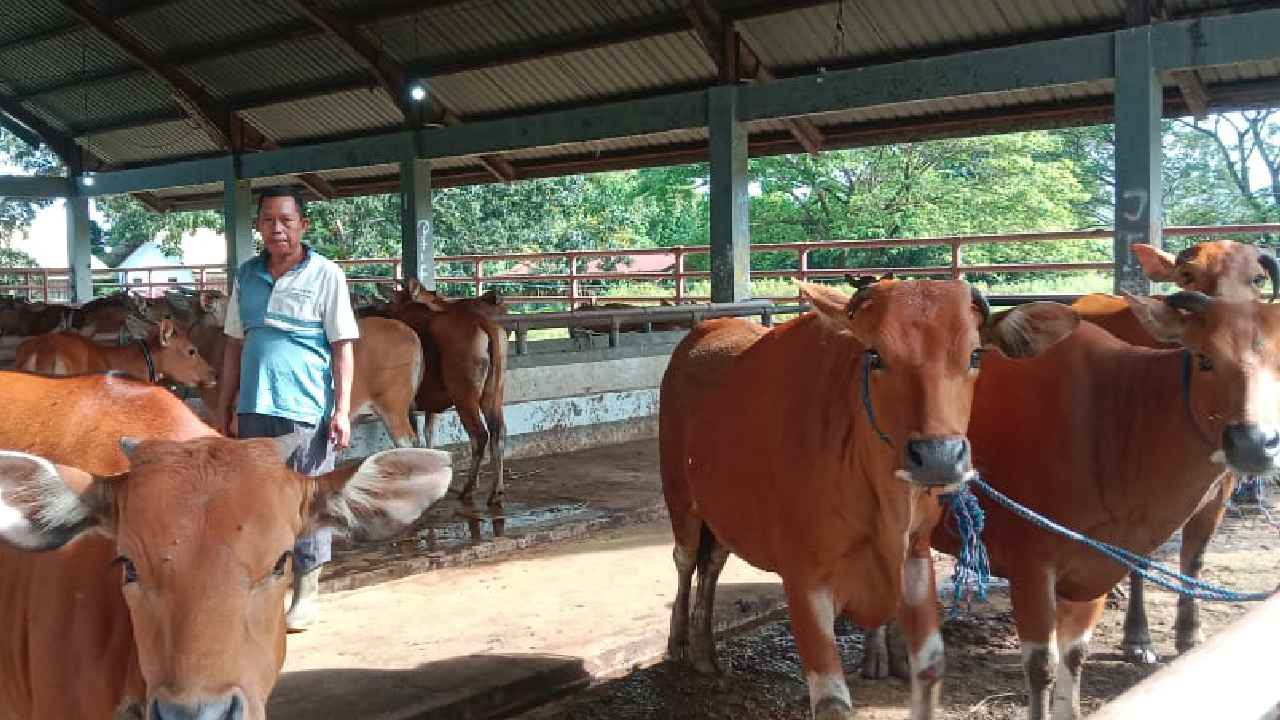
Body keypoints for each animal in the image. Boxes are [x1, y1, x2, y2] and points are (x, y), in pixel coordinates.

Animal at [660, 281, 1080, 717]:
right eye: (875, 355)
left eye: (975, 354)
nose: (939, 456)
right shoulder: (805, 577)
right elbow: (831, 701)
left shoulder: (915, 555)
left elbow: (931, 667)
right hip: (680, 495)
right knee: (686, 560)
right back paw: (680, 641)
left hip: (720, 510)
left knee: (712, 564)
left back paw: (704, 650)